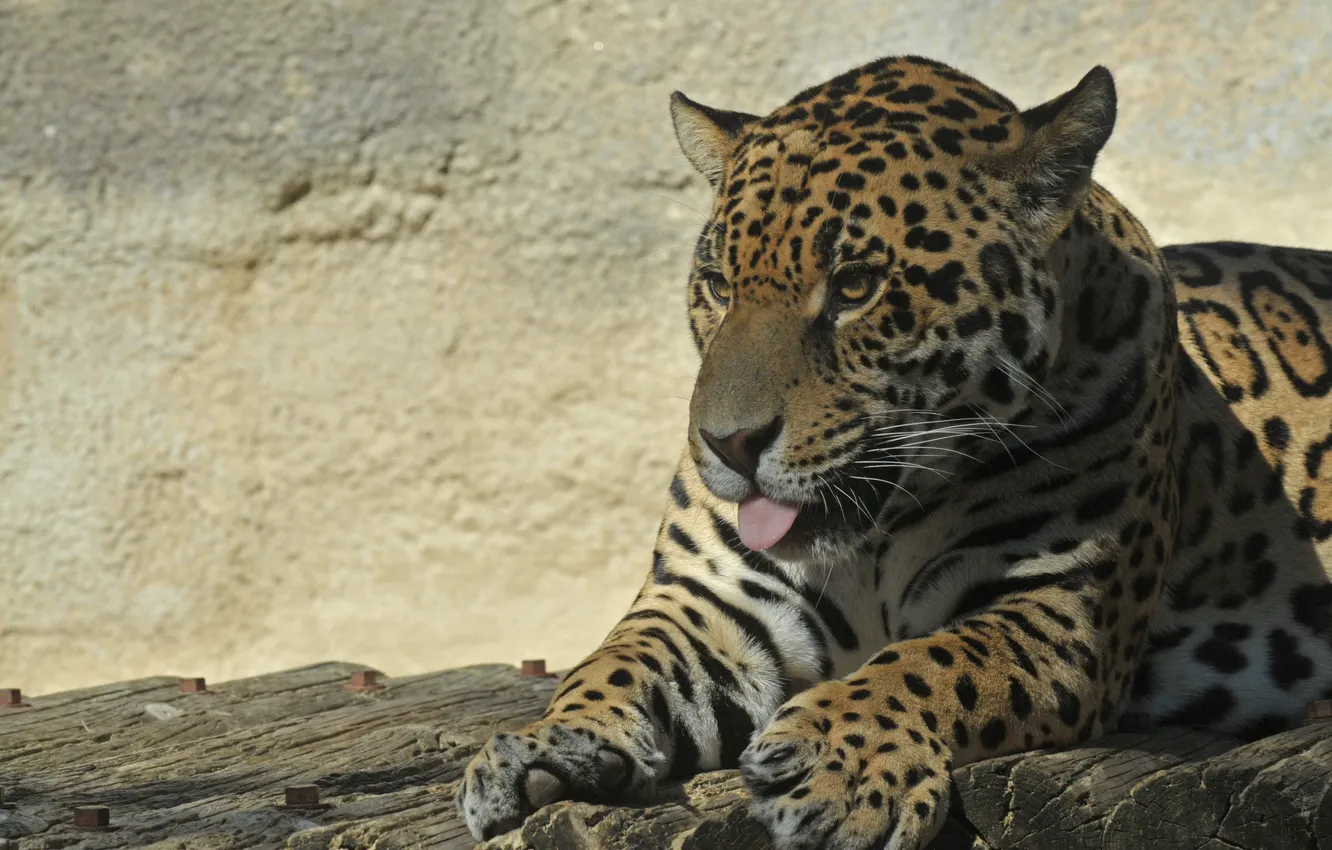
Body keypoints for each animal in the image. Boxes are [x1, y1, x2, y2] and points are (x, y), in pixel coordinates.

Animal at [457, 55, 1332, 850]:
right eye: (717, 285)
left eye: (855, 288)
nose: (728, 443)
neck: (874, 536)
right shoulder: (714, 600)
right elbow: (616, 658)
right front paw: (540, 745)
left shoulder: (1062, 607)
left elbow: (938, 660)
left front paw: (834, 768)